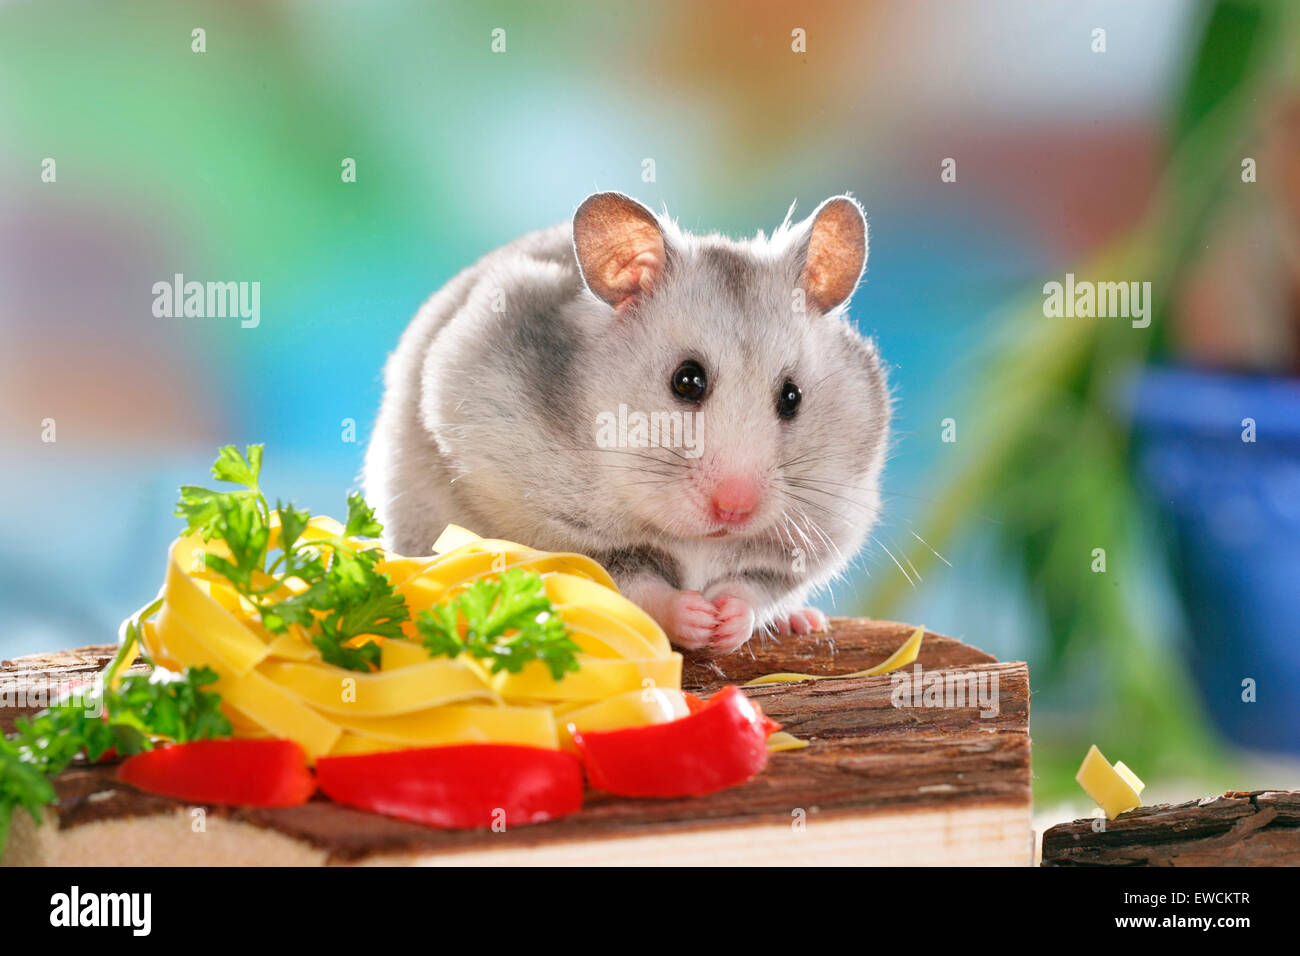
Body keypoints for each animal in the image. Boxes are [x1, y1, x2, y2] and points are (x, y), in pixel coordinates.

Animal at [364, 192, 890, 655]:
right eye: (687, 381)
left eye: (791, 397)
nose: (735, 509)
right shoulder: (547, 524)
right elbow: (631, 583)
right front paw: (696, 617)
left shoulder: (818, 536)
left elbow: (753, 588)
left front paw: (725, 620)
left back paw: (803, 621)